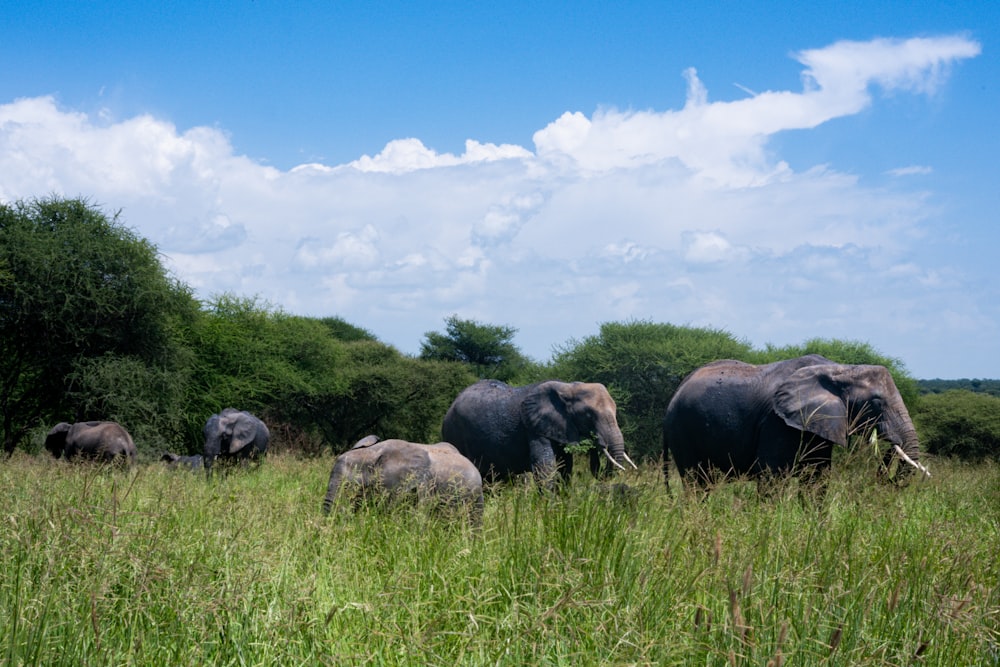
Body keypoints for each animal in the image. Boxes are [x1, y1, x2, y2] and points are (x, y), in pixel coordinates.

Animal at [442, 380, 636, 486]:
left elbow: (565, 467)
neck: (568, 388)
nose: (597, 442)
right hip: (454, 433)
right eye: (589, 415)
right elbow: (545, 467)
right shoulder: (533, 427)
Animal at [664, 354, 928, 490]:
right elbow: (771, 478)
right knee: (696, 483)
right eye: (876, 403)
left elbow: (816, 480)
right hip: (682, 431)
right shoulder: (776, 423)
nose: (890, 449)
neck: (840, 369)